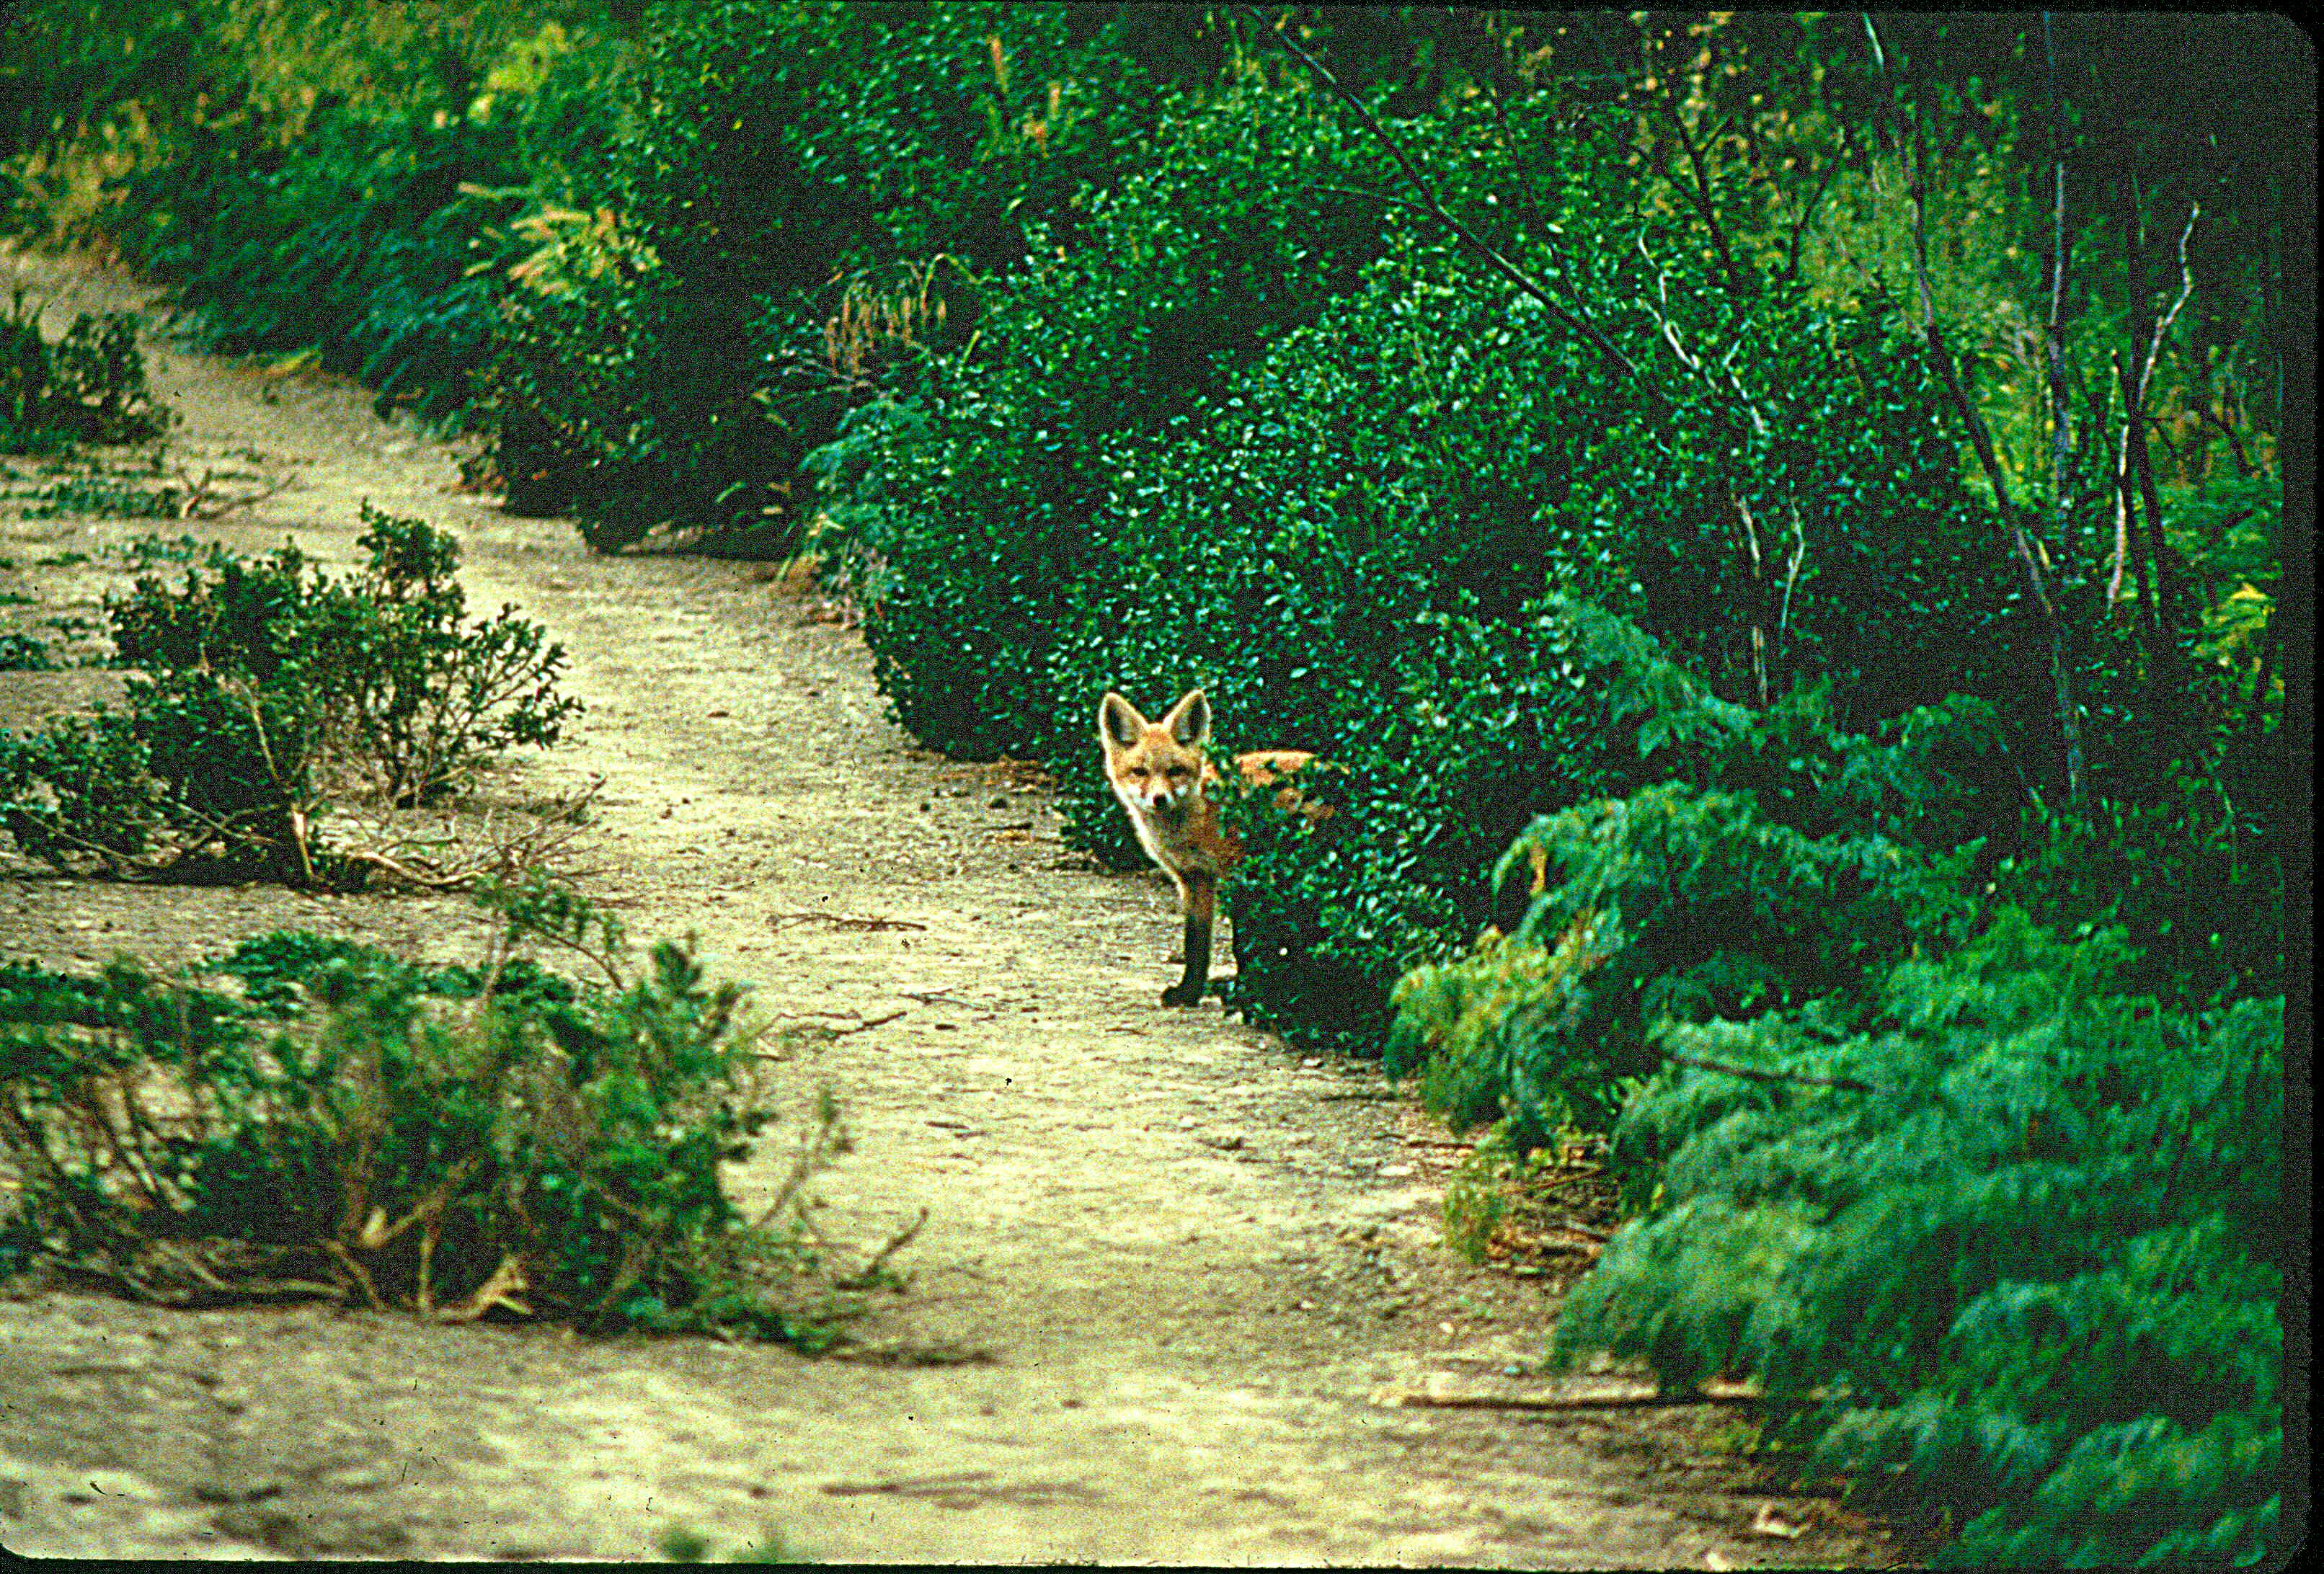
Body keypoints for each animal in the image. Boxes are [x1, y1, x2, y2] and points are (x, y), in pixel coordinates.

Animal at [1097, 688, 1321, 1007]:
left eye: (1175, 771)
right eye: (1140, 772)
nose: (1159, 799)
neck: (1197, 819)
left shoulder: (1239, 873)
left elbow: (1243, 943)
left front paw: (1244, 993)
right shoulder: (1194, 878)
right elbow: (1195, 943)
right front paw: (1190, 991)